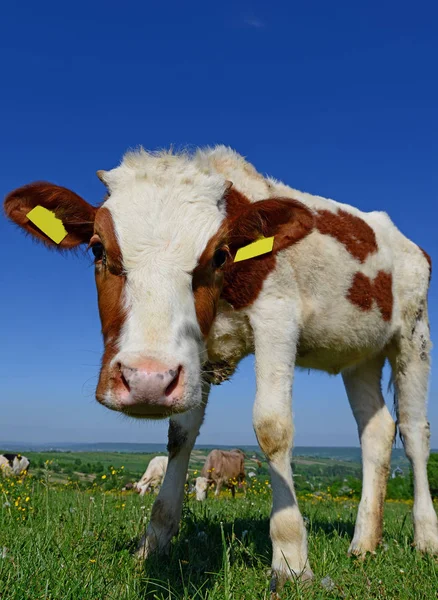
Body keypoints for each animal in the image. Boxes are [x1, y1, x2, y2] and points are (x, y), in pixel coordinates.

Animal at [4, 146, 438, 592]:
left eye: (219, 254)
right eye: (96, 249)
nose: (145, 380)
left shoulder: (278, 318)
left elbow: (272, 428)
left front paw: (291, 560)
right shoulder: (194, 357)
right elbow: (180, 436)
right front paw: (153, 542)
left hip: (413, 335)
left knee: (413, 432)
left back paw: (425, 537)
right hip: (360, 354)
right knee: (377, 430)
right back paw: (364, 543)